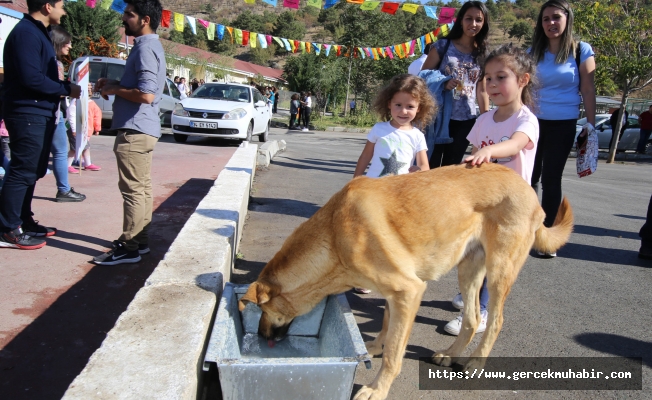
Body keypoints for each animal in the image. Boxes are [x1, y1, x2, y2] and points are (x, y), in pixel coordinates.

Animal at [238, 163, 572, 400]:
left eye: (263, 312)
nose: (261, 336)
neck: (333, 236)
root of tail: (529, 189)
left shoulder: (409, 291)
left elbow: (394, 355)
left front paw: (377, 388)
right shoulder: (395, 294)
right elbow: (387, 327)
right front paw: (373, 346)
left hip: (499, 272)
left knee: (496, 321)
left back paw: (476, 363)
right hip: (468, 270)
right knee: (472, 318)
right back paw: (450, 354)